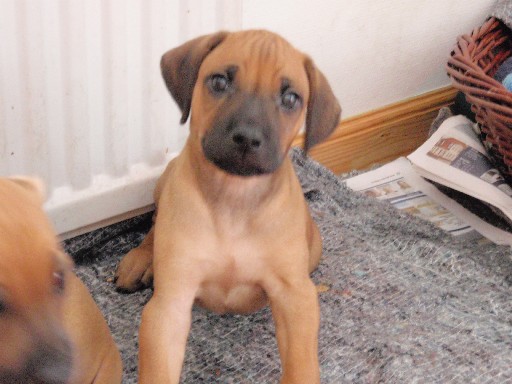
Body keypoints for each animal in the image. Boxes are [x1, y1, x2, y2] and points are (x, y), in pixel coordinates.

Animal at [115, 30, 340, 384]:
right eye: (219, 82)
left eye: (291, 99)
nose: (247, 138)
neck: (234, 199)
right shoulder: (170, 305)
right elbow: (158, 368)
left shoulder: (296, 297)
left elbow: (302, 365)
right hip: (166, 181)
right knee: (155, 222)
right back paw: (141, 260)